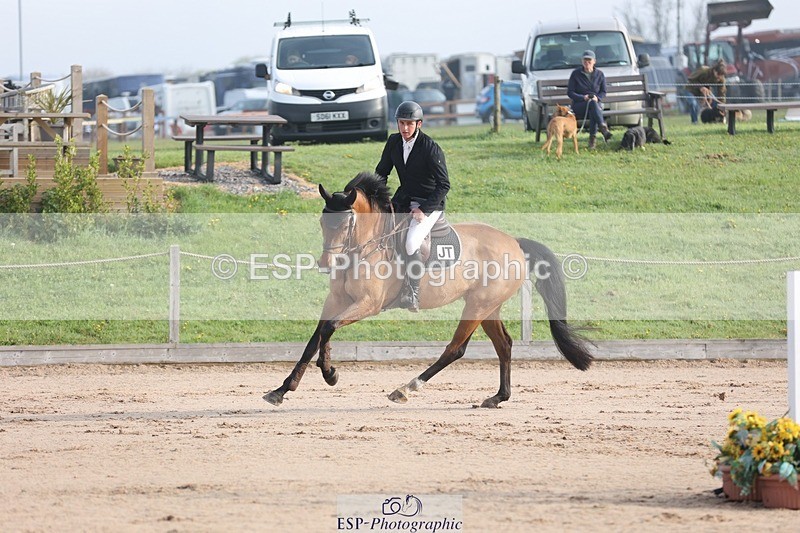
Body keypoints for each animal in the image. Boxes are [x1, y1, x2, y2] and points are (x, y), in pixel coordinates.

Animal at [263, 172, 593, 408]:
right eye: (322, 221)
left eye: (345, 225)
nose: (325, 263)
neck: (364, 247)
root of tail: (513, 241)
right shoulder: (337, 299)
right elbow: (317, 336)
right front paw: (283, 389)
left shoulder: (369, 304)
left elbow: (329, 328)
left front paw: (329, 373)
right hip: (488, 307)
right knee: (504, 345)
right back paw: (498, 397)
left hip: (476, 306)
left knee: (456, 349)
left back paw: (405, 389)